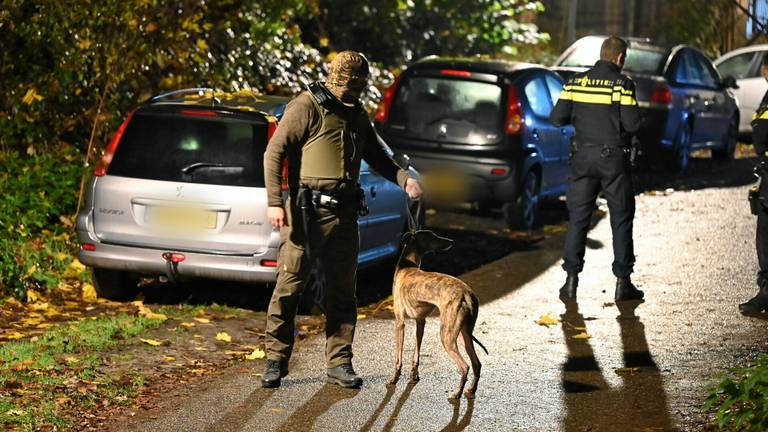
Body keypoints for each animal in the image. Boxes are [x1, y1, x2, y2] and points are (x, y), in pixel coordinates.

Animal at [388, 230, 488, 398]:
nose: (451, 241)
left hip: (447, 336)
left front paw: (394, 379)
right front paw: (414, 375)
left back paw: (456, 394)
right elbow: (416, 353)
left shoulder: (399, 322)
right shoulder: (420, 321)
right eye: (432, 236)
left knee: (465, 366)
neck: (406, 267)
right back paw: (471, 390)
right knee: (477, 363)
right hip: (465, 334)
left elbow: (398, 357)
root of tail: (466, 294)